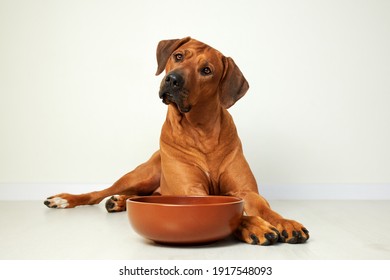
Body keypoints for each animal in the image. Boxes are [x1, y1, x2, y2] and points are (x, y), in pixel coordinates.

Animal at [45, 37, 308, 245]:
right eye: (178, 56)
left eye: (206, 70)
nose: (173, 79)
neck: (201, 131)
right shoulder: (193, 192)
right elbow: (237, 213)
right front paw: (254, 225)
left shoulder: (245, 190)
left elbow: (263, 207)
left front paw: (286, 223)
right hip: (142, 174)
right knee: (99, 193)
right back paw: (68, 199)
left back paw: (119, 202)